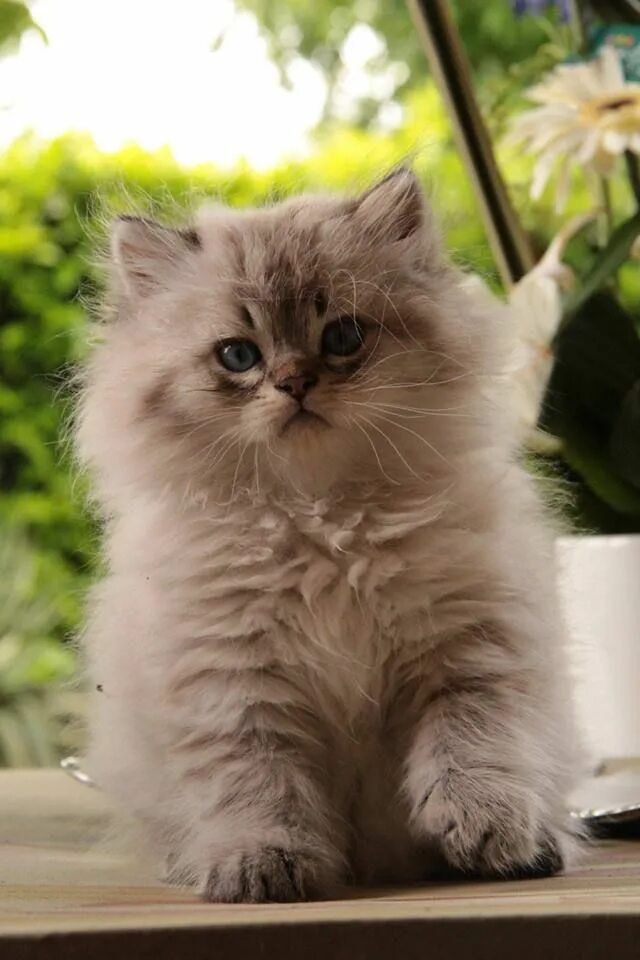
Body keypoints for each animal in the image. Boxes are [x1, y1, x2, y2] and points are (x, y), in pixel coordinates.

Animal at [77, 171, 584, 900]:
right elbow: (258, 786)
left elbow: (472, 750)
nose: (294, 383)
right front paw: (258, 862)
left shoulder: (467, 652)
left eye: (342, 336)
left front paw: (487, 830)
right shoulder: (234, 684)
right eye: (238, 355)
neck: (322, 521)